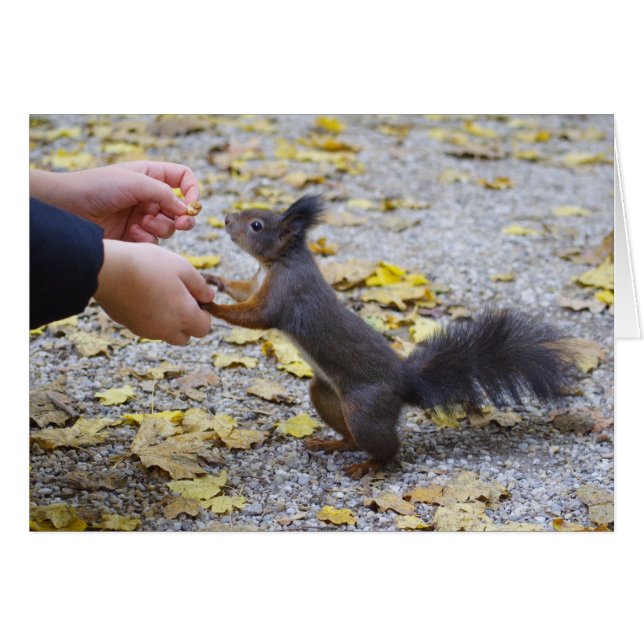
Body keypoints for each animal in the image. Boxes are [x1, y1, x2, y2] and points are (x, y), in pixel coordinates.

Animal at [202, 195, 577, 478]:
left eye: (256, 225)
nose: (227, 218)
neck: (278, 260)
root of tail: (405, 383)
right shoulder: (256, 283)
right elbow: (241, 290)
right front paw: (213, 280)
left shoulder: (286, 292)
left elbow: (255, 316)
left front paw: (210, 305)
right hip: (327, 395)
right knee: (351, 435)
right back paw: (332, 444)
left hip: (365, 409)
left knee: (389, 448)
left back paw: (369, 465)